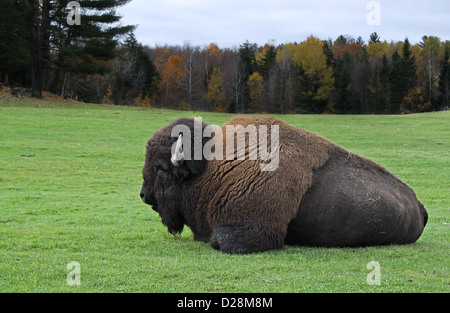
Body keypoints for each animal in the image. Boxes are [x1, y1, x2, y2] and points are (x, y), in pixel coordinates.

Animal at [142, 116, 428, 252]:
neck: (210, 167)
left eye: (160, 168)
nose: (145, 196)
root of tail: (419, 205)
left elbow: (219, 240)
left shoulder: (251, 230)